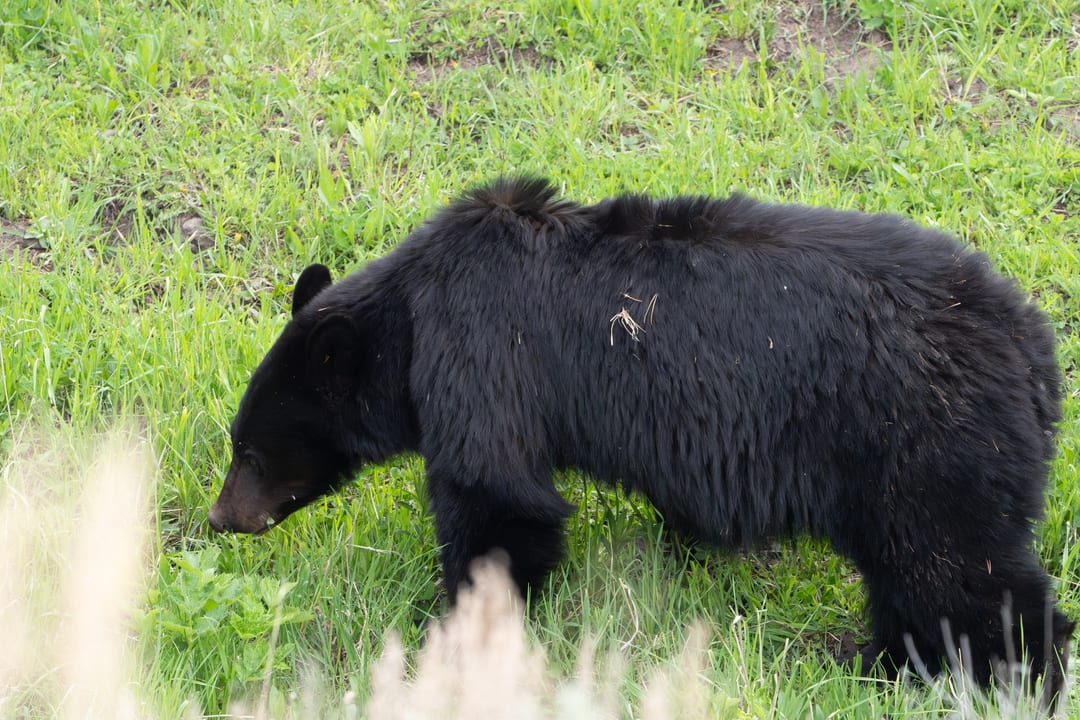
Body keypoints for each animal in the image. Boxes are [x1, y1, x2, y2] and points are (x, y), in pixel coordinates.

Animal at [208, 177, 1073, 708]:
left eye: (250, 452)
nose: (221, 518)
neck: (412, 321)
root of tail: (1036, 354)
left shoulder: (485, 356)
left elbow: (497, 500)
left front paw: (459, 628)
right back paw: (882, 664)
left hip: (924, 442)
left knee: (960, 571)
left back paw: (1005, 680)